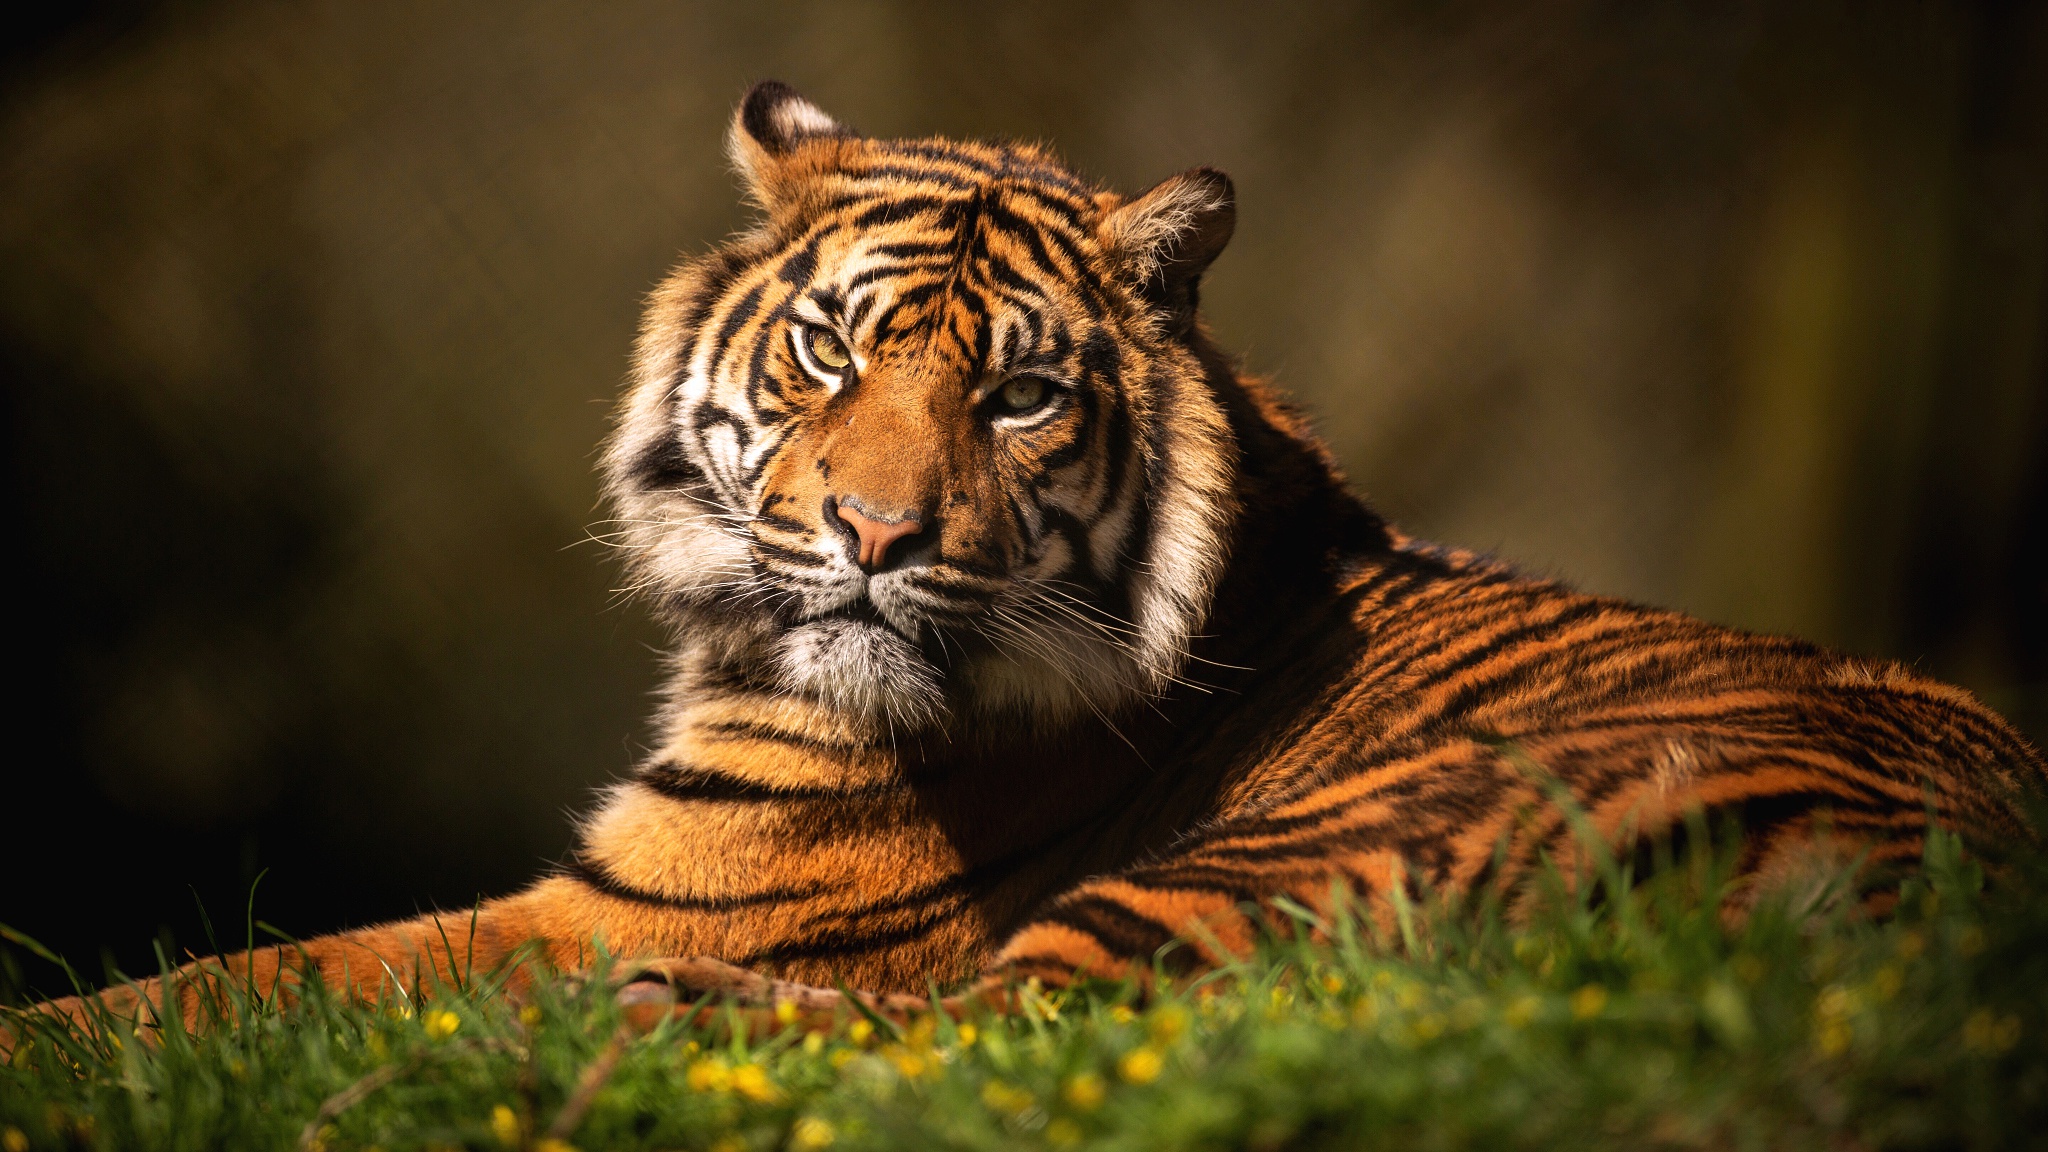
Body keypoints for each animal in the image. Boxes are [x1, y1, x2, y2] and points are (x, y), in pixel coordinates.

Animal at [28, 80, 2031, 1024]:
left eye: (1017, 397)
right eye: (827, 352)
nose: (871, 536)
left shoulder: (618, 901)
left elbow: (229, 984)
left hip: (1288, 850)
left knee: (964, 1041)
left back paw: (668, 1017)